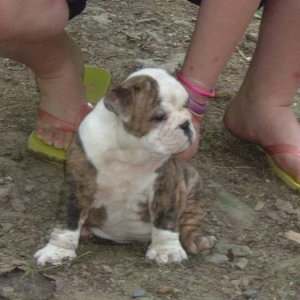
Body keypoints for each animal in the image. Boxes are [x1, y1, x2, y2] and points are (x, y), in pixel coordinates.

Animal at [34, 68, 214, 268]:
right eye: (159, 116)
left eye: (186, 106)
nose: (186, 124)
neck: (129, 152)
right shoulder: (78, 187)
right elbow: (69, 220)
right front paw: (57, 251)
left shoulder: (165, 186)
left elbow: (165, 219)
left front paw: (167, 251)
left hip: (192, 186)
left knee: (188, 224)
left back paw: (197, 242)